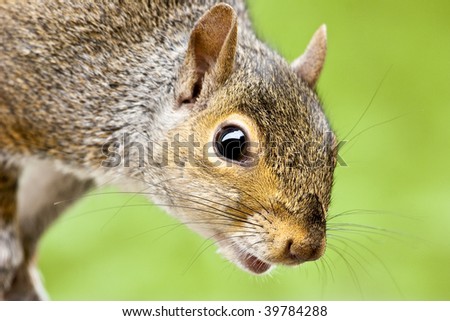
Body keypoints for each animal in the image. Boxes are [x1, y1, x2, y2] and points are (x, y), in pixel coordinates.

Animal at [0, 0, 338, 300]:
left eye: (332, 148)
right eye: (232, 143)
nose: (307, 247)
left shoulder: (64, 172)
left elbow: (35, 217)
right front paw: (7, 254)